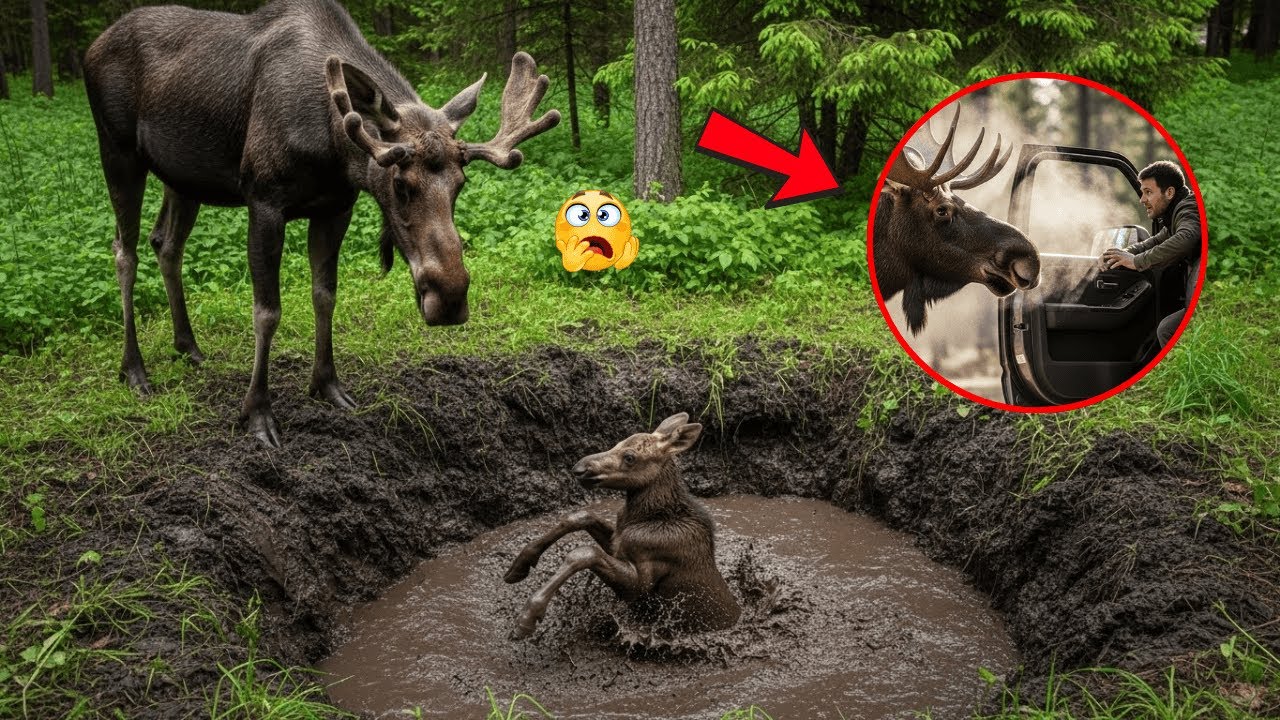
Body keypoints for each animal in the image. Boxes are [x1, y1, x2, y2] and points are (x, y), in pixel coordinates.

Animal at [83, 0, 559, 447]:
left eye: (461, 183)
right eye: (400, 184)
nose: (450, 297)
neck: (333, 149)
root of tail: (92, 48)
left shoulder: (336, 207)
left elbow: (325, 295)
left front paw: (328, 385)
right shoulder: (263, 199)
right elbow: (267, 311)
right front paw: (257, 412)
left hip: (183, 177)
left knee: (166, 244)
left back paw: (188, 346)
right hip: (118, 150)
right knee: (124, 251)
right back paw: (135, 370)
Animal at [504, 413, 741, 640]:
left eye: (629, 457)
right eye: (616, 443)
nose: (579, 468)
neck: (646, 516)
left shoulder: (642, 583)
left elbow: (584, 552)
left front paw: (527, 617)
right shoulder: (618, 544)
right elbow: (579, 516)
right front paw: (520, 564)